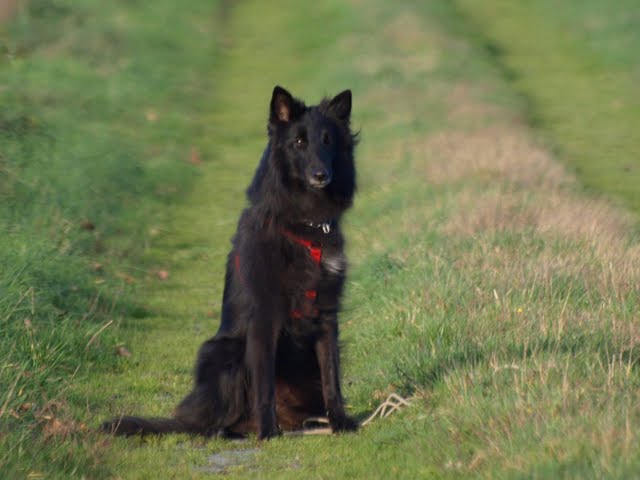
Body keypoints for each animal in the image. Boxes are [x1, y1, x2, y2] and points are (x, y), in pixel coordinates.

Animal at [102, 86, 358, 438]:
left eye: (328, 141)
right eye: (299, 142)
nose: (321, 175)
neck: (304, 224)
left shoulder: (326, 314)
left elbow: (331, 376)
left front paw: (341, 421)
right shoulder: (263, 319)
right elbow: (264, 384)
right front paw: (268, 433)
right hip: (224, 353)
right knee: (214, 420)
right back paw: (237, 429)